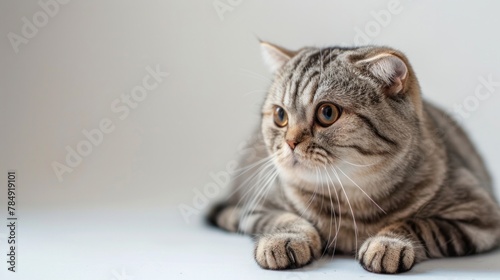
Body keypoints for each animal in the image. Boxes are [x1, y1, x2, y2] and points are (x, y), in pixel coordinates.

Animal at [206, 42, 500, 274]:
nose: (290, 142)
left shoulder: (480, 216)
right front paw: (283, 239)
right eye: (280, 116)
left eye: (327, 113)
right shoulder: (258, 206)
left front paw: (387, 243)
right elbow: (285, 219)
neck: (350, 199)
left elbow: (417, 224)